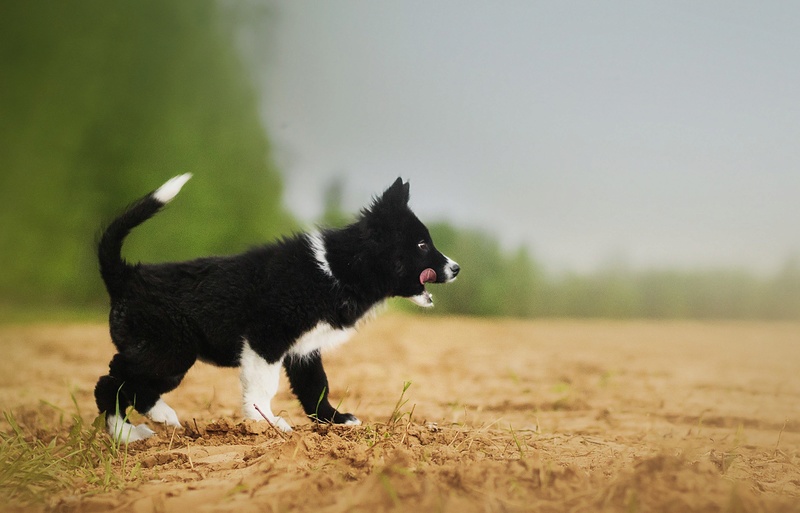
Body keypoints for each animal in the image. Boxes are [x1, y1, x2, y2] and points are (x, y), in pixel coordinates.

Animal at [94, 175, 460, 440]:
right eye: (421, 244)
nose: (456, 268)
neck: (338, 268)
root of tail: (126, 276)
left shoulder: (305, 350)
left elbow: (316, 386)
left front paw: (334, 420)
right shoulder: (266, 339)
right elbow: (263, 386)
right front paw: (267, 422)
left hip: (165, 355)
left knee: (119, 383)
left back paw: (133, 432)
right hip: (171, 351)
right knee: (112, 381)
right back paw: (144, 425)